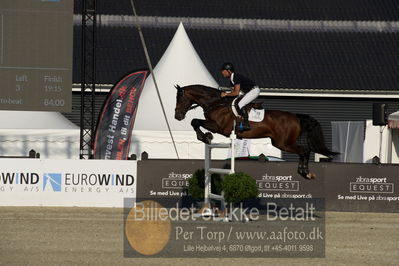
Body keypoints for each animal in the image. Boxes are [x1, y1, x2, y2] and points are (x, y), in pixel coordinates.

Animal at [174, 84, 338, 180]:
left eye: (180, 98)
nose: (177, 116)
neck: (216, 103)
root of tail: (295, 117)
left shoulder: (219, 127)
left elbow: (195, 121)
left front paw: (205, 137)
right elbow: (195, 122)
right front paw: (206, 136)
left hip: (283, 143)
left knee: (304, 151)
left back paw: (305, 173)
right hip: (281, 143)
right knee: (304, 151)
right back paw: (304, 172)